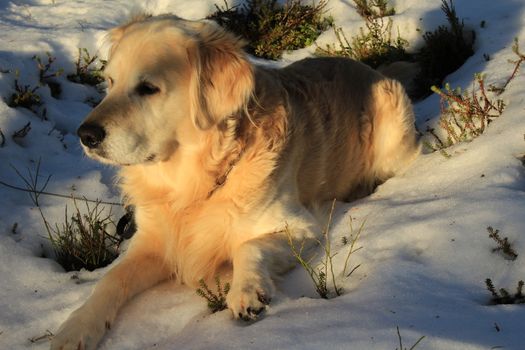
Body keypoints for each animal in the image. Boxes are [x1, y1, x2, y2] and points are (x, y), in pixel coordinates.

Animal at [51, 14, 420, 350]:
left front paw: (246, 291)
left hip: (393, 134)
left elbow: (249, 245)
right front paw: (76, 328)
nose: (86, 135)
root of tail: (373, 70)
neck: (194, 186)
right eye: (110, 82)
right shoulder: (152, 241)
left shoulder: (302, 227)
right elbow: (111, 280)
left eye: (148, 88)